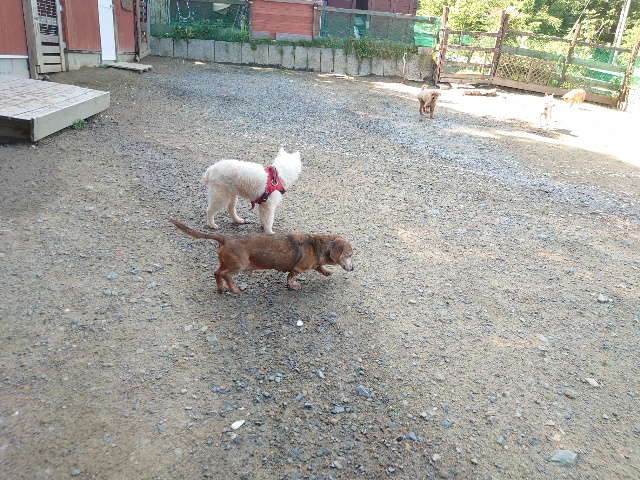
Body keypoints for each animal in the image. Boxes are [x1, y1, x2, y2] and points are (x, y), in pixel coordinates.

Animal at [170, 220, 354, 293]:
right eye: (350, 254)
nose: (353, 268)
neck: (316, 245)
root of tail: (225, 238)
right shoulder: (296, 269)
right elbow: (290, 277)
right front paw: (294, 286)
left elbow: (319, 267)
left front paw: (326, 272)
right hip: (239, 264)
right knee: (225, 274)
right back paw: (234, 289)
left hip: (225, 262)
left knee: (217, 273)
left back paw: (221, 288)